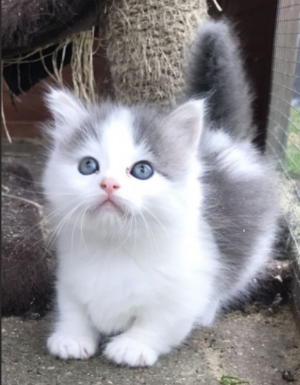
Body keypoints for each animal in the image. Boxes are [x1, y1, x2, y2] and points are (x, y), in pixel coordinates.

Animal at [42, 21, 278, 366]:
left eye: (142, 171)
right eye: (88, 166)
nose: (109, 184)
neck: (116, 250)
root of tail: (222, 135)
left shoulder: (187, 286)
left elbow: (159, 323)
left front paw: (131, 347)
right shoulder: (70, 275)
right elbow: (73, 309)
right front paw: (72, 338)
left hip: (252, 249)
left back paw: (207, 315)